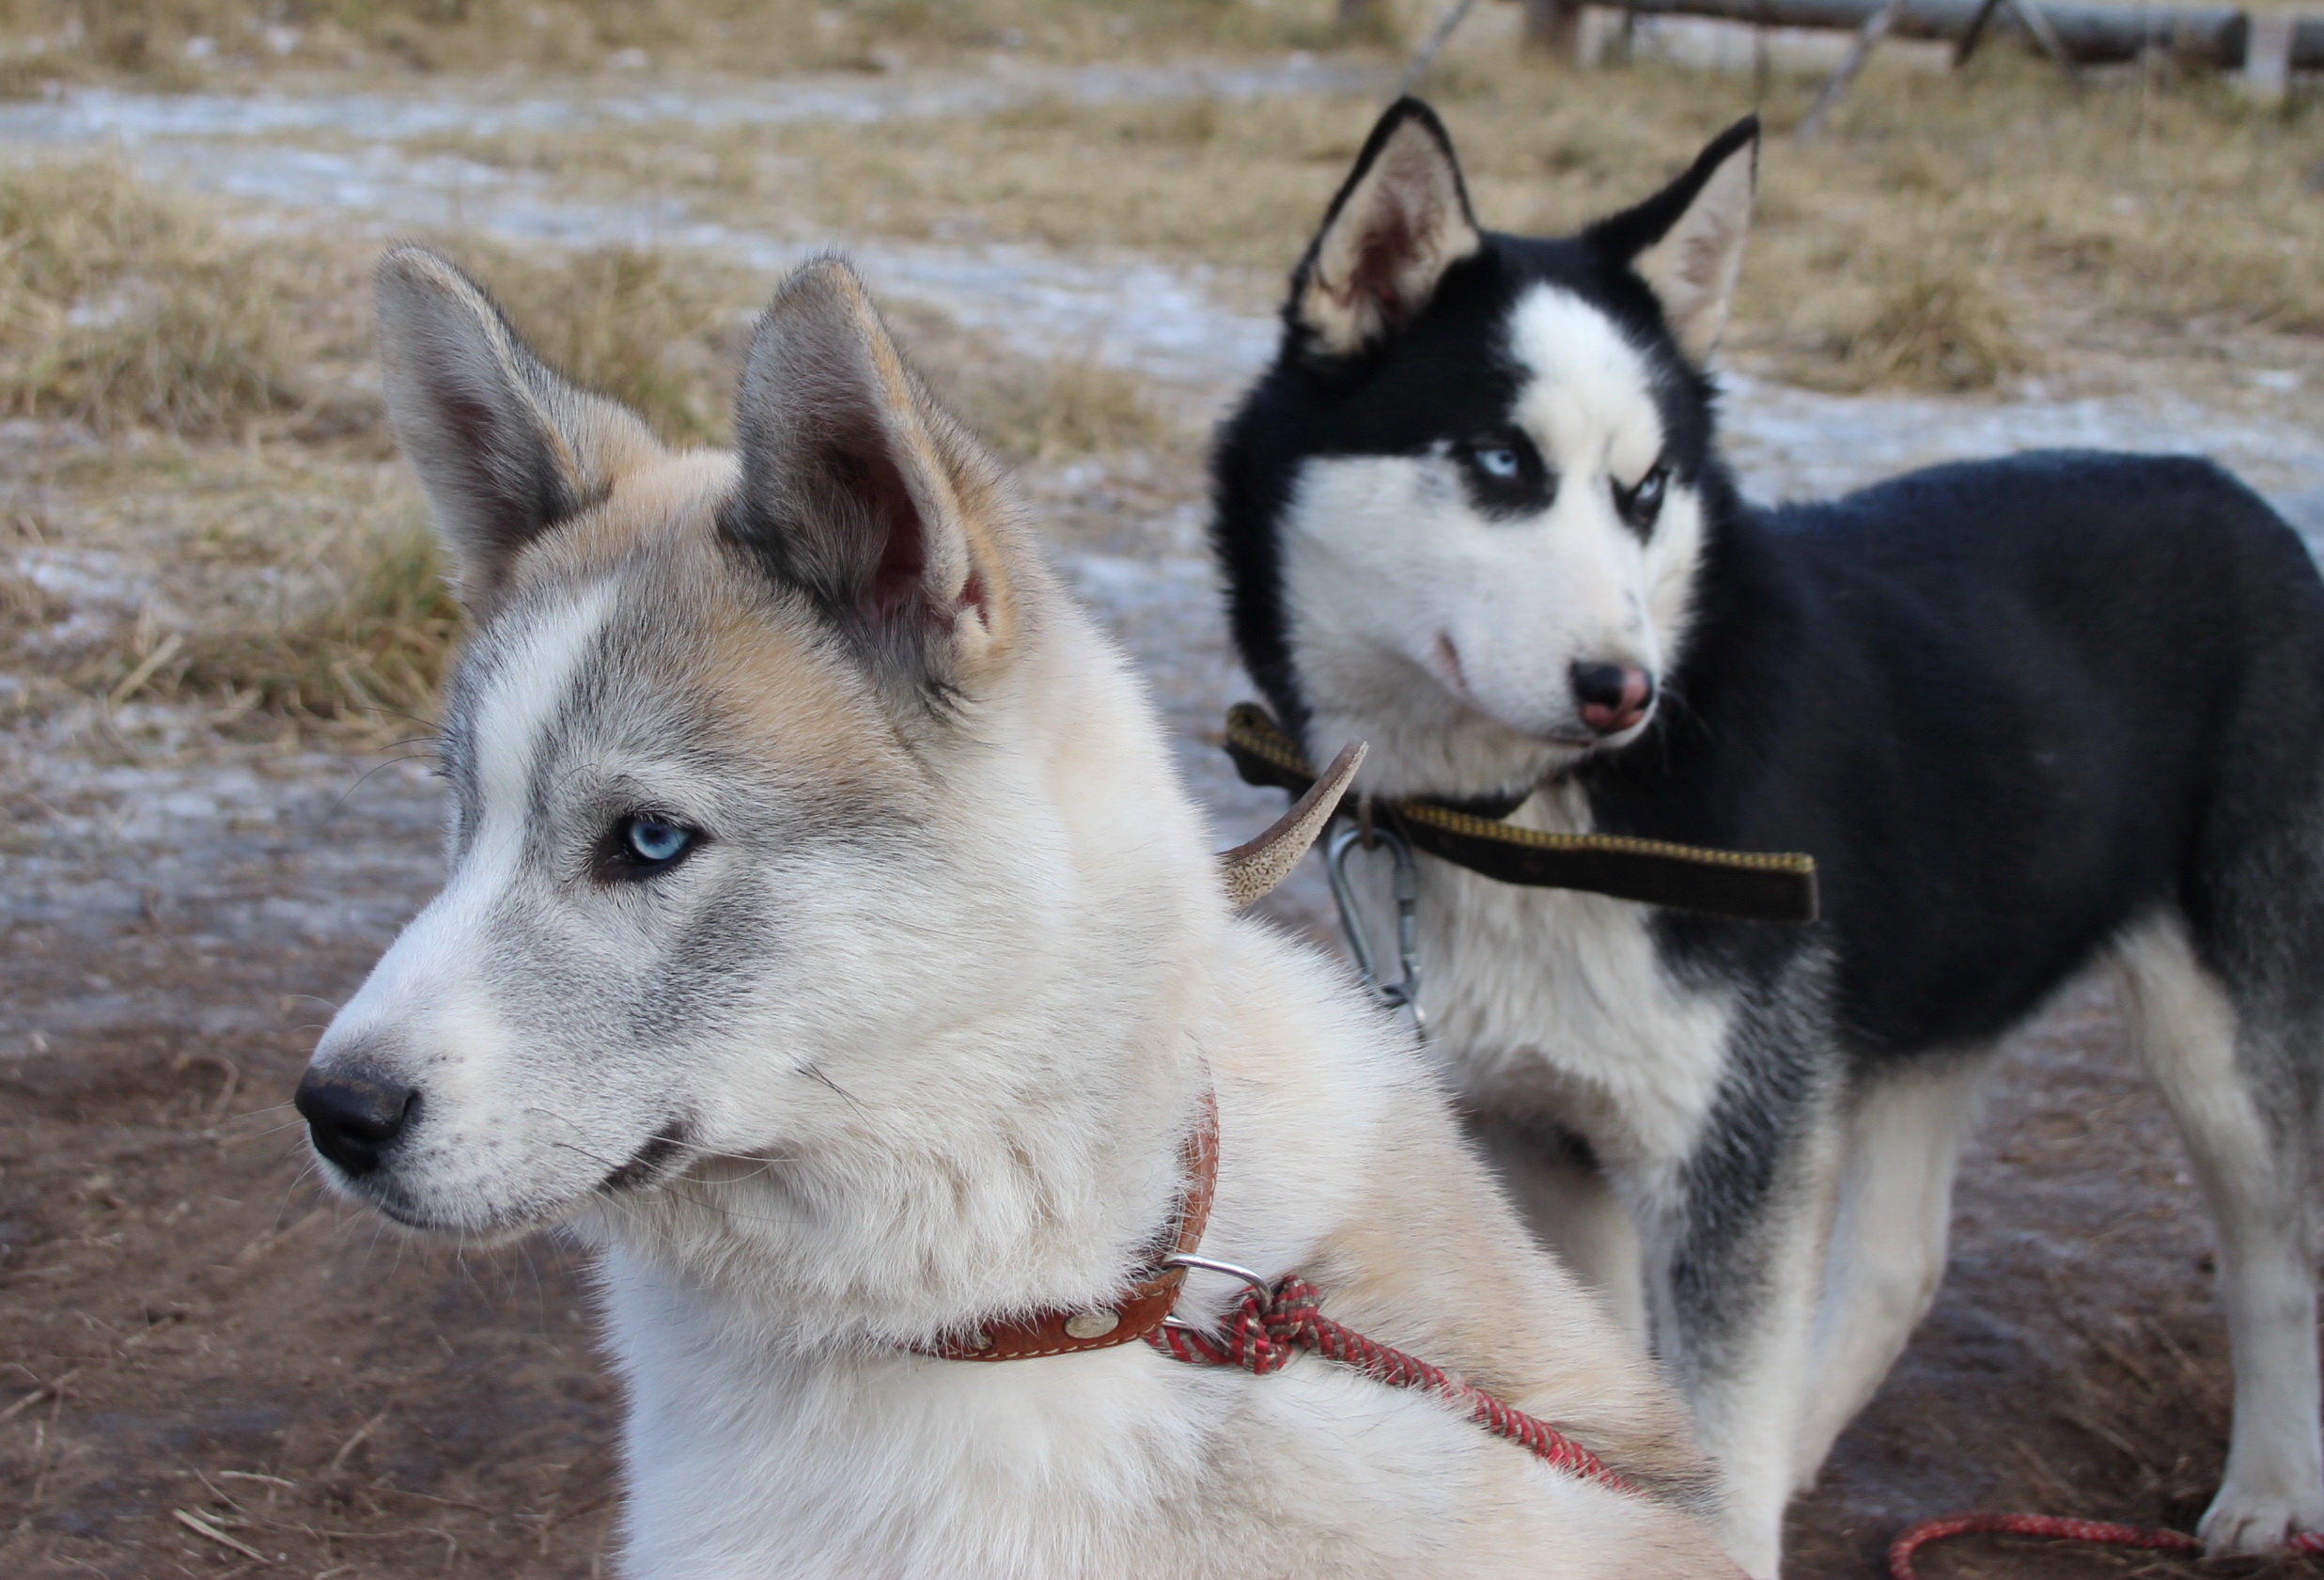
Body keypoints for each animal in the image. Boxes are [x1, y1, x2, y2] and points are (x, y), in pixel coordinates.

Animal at [1208, 95, 2324, 1571]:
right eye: (1500, 461)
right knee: (1901, 1259)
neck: (1535, 821)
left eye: (1645, 488)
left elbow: (1715, 1422)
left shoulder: (1734, 1150)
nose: (1623, 690)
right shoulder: (1543, 1131)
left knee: (2276, 1252)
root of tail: (2242, 500)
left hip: (2221, 1038)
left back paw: (2270, 1488)